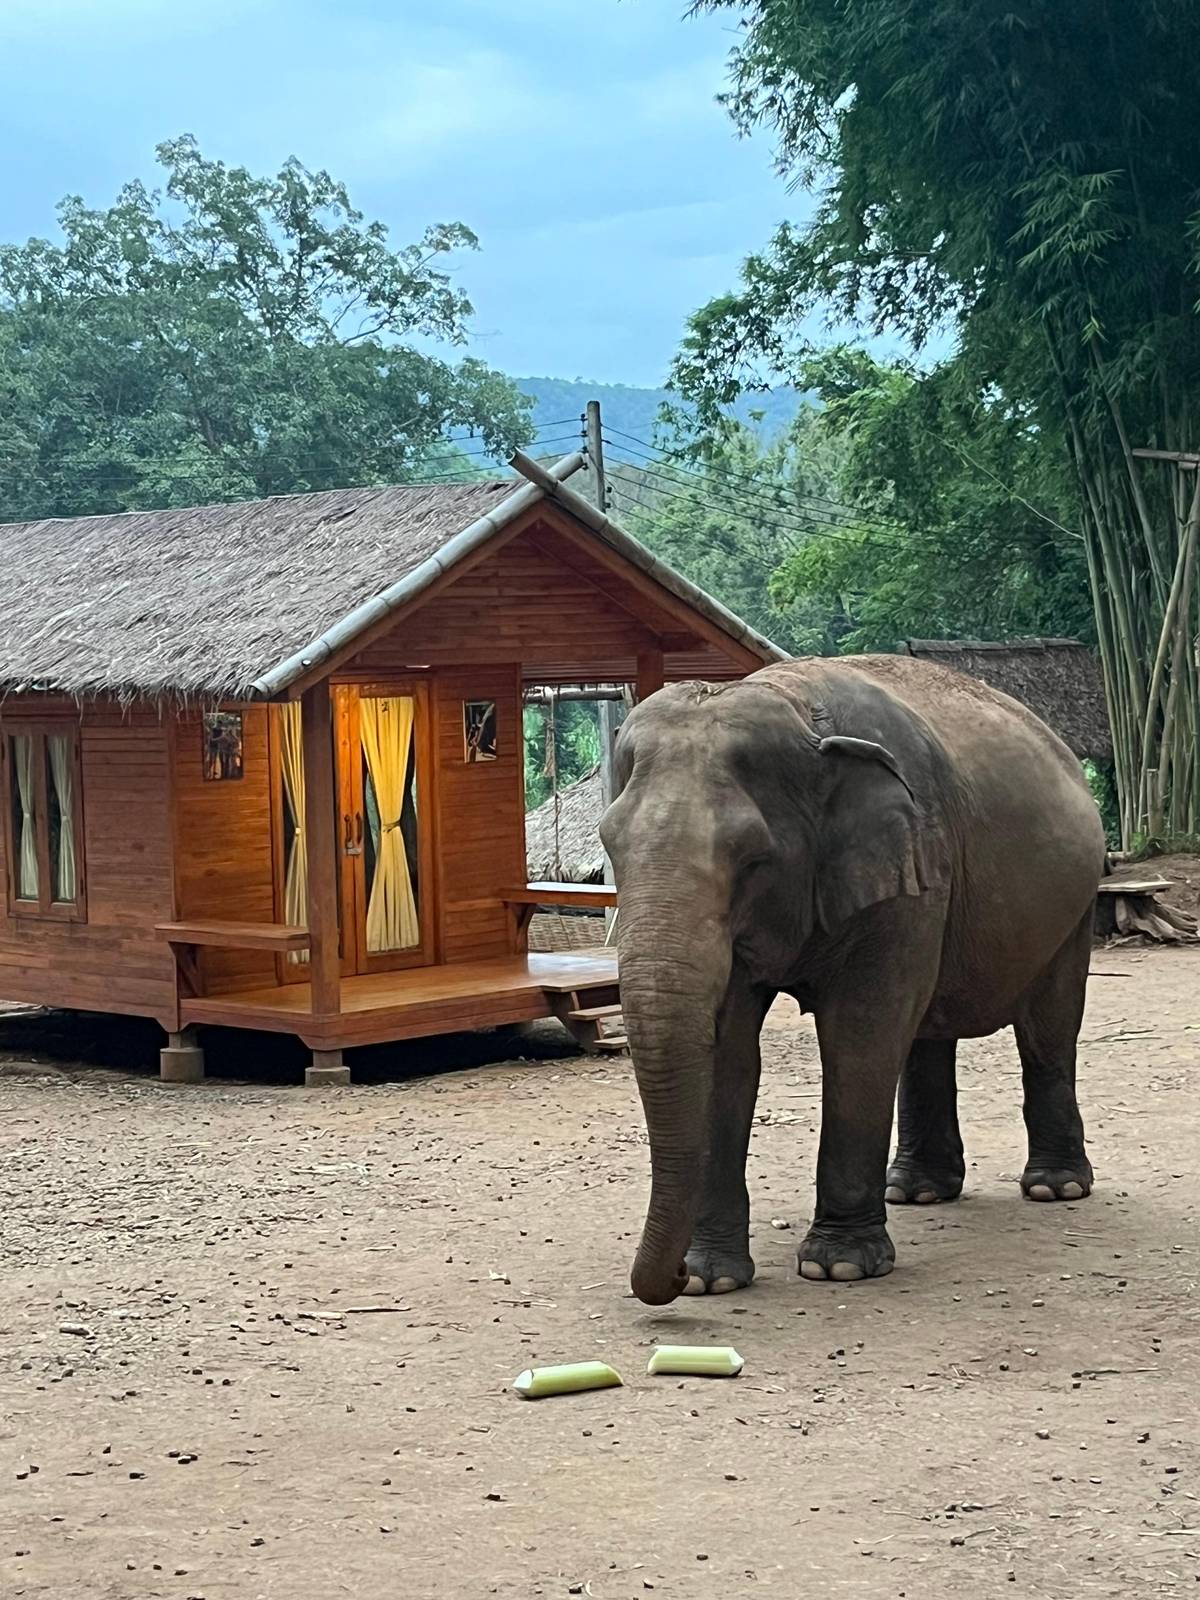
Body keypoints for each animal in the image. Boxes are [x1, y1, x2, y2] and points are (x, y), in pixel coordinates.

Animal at [599, 656, 1107, 1307]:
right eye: (611, 845)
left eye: (753, 857)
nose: (672, 1280)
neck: (797, 707)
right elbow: (728, 1051)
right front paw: (713, 1279)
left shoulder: (911, 862)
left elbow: (859, 1035)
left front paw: (838, 1268)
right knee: (924, 1034)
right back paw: (916, 1192)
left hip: (1077, 899)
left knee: (1048, 1027)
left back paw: (1053, 1188)